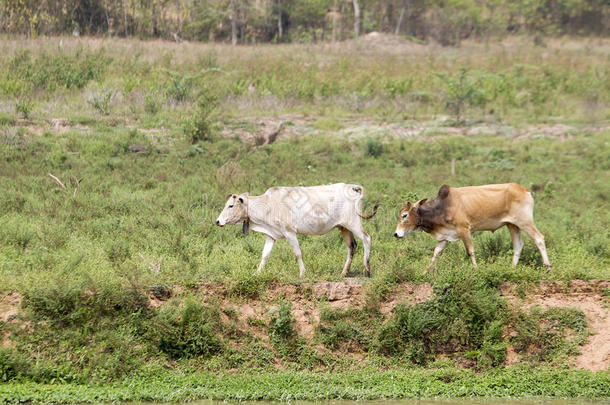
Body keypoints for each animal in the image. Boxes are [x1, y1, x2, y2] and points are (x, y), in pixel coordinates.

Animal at [214, 185, 376, 276]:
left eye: (230, 205)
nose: (217, 221)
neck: (269, 204)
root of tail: (350, 187)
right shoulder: (271, 235)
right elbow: (265, 255)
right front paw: (257, 273)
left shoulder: (290, 232)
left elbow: (297, 253)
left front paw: (302, 274)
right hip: (344, 227)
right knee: (352, 246)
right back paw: (344, 272)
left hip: (353, 222)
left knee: (367, 238)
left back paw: (367, 269)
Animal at [394, 183, 552, 272]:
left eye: (404, 215)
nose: (396, 234)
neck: (441, 208)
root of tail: (526, 190)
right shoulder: (444, 237)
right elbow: (435, 254)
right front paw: (425, 272)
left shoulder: (465, 230)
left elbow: (470, 251)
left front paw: (476, 270)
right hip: (512, 225)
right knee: (518, 245)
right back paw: (512, 269)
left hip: (524, 221)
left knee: (539, 238)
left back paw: (548, 268)